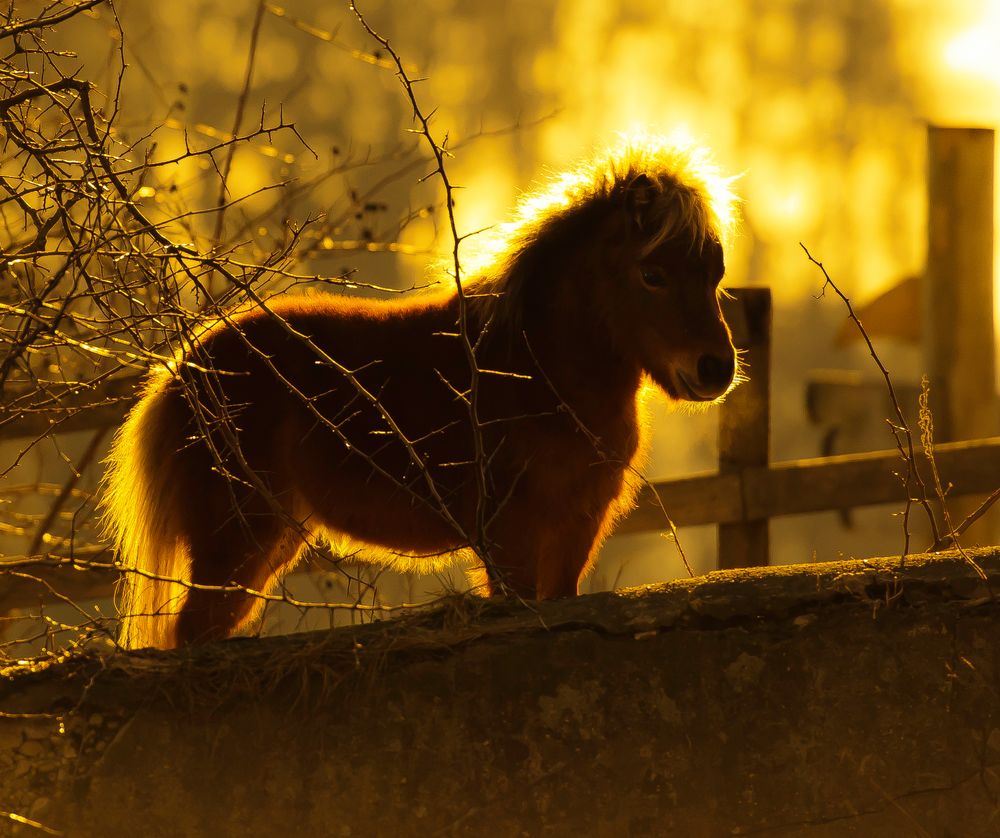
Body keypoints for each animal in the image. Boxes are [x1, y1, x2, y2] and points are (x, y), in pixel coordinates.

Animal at [103, 136, 744, 648]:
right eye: (653, 274)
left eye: (714, 273)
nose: (715, 369)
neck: (535, 374)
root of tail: (184, 367)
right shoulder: (509, 540)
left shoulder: (575, 531)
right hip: (235, 542)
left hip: (267, 542)